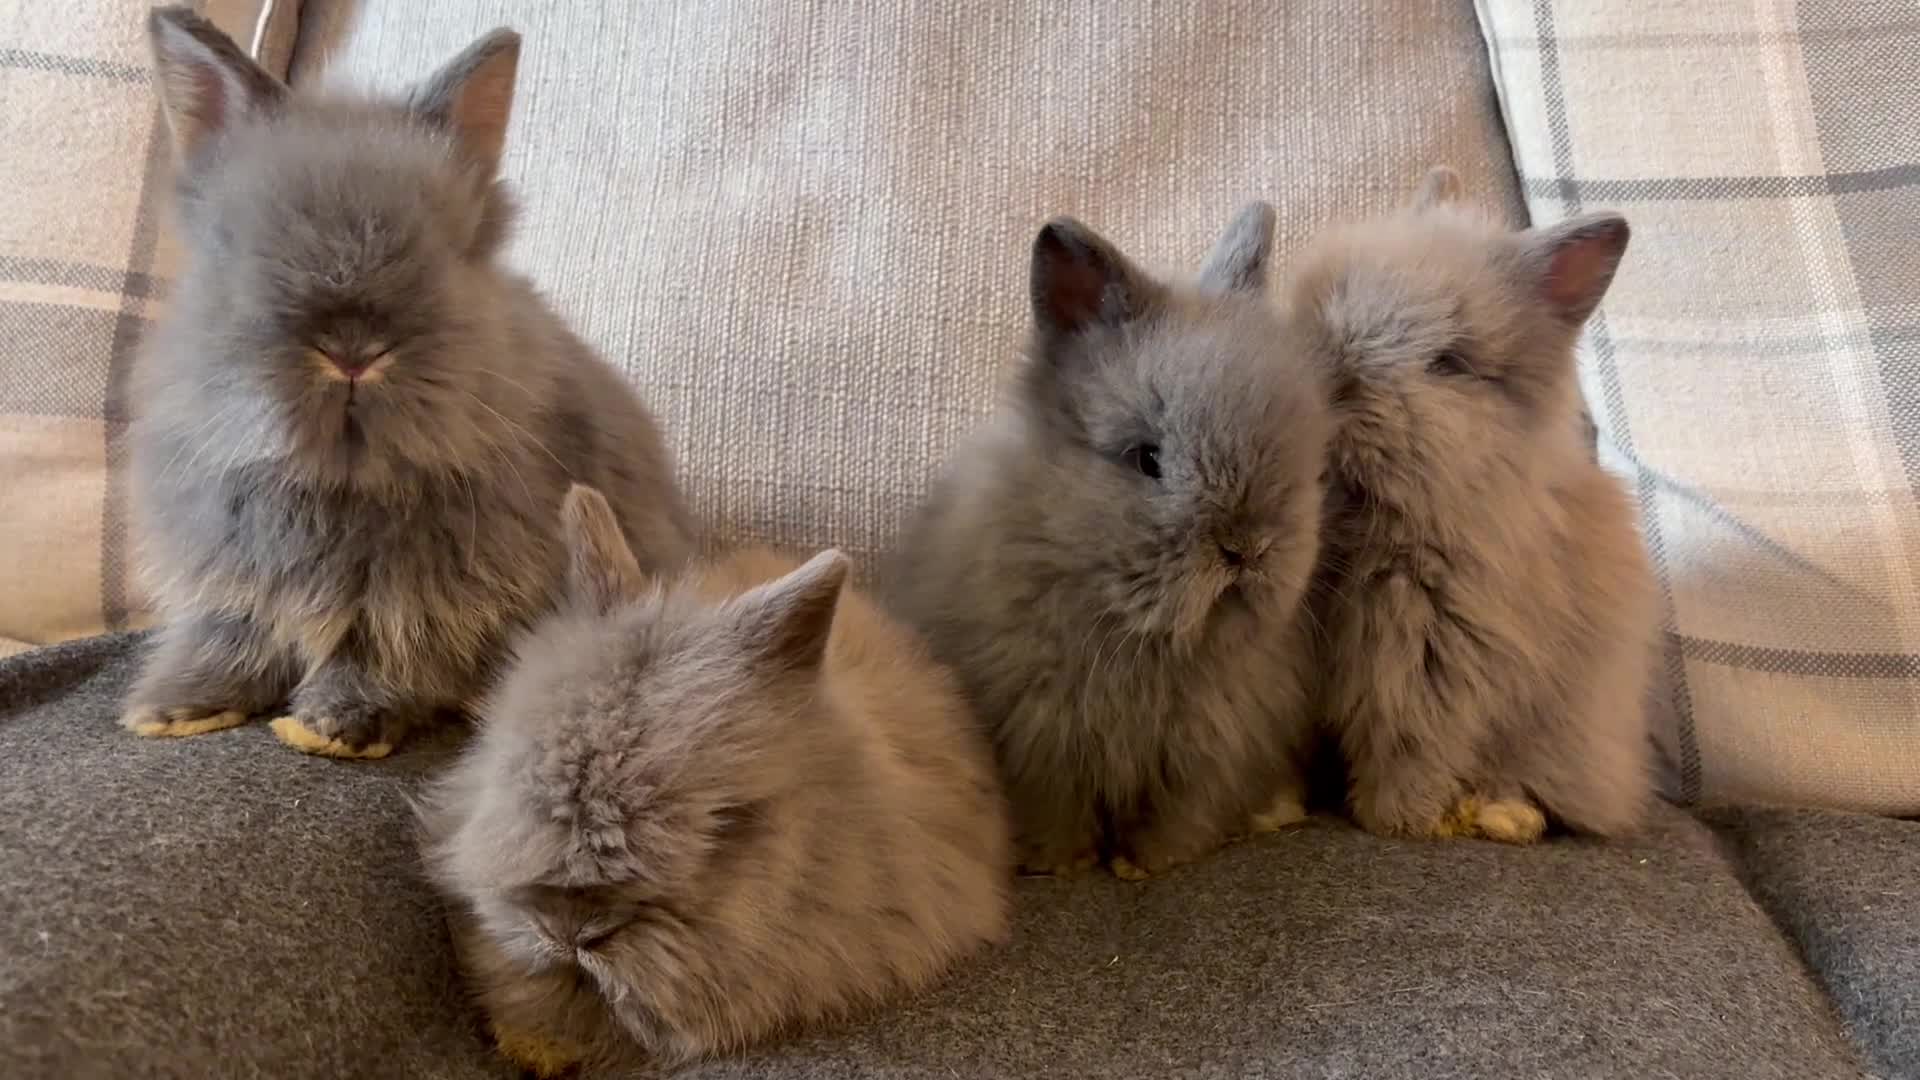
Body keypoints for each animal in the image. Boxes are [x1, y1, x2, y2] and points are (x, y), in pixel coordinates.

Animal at [122, 9, 694, 758]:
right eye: (233, 244)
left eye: (455, 249)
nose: (352, 349)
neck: (341, 478)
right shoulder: (232, 582)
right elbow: (230, 639)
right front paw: (172, 708)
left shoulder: (427, 601)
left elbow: (383, 653)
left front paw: (332, 727)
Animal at [886, 204, 1331, 880]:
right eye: (1146, 459)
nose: (1247, 549)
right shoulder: (1038, 747)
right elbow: (1054, 814)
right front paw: (1061, 866)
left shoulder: (1204, 757)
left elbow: (1176, 819)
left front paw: (1146, 866)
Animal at [1282, 166, 1658, 843]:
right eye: (1331, 292)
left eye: (1449, 364)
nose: (1332, 381)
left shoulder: (1433, 661)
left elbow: (1412, 744)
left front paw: (1395, 820)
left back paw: (1503, 815)